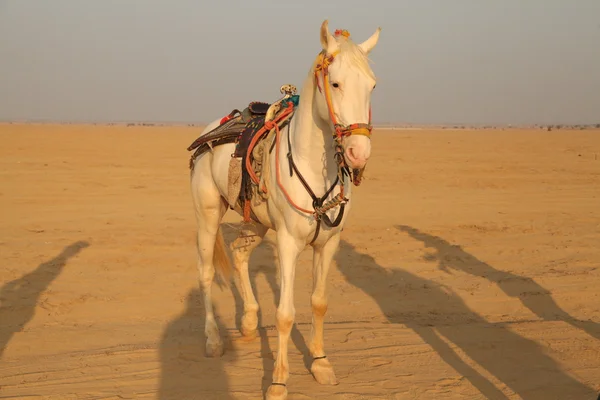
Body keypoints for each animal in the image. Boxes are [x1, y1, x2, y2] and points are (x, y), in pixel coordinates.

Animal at [190, 20, 382, 398]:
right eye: (335, 83)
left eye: (371, 85)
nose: (359, 154)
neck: (312, 166)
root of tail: (212, 128)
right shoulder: (288, 243)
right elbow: (285, 314)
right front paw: (278, 381)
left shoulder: (329, 243)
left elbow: (319, 303)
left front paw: (321, 364)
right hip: (208, 215)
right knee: (205, 273)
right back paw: (214, 340)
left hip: (256, 222)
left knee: (239, 254)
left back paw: (250, 320)